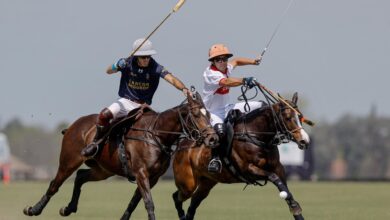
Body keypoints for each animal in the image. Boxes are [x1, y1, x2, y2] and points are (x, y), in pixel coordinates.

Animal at [23, 91, 219, 220]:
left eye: (208, 114)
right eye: (196, 115)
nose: (213, 138)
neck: (156, 135)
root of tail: (73, 125)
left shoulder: (152, 178)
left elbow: (134, 203)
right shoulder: (141, 173)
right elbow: (149, 203)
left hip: (103, 170)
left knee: (80, 176)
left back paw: (68, 208)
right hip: (69, 161)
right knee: (54, 184)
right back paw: (34, 210)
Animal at [171, 92, 310, 220]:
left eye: (300, 116)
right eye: (287, 117)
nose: (305, 140)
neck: (255, 135)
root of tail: (182, 144)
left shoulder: (278, 167)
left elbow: (285, 188)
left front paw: (295, 208)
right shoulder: (248, 170)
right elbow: (274, 177)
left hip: (207, 182)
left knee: (193, 203)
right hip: (188, 183)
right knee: (176, 197)